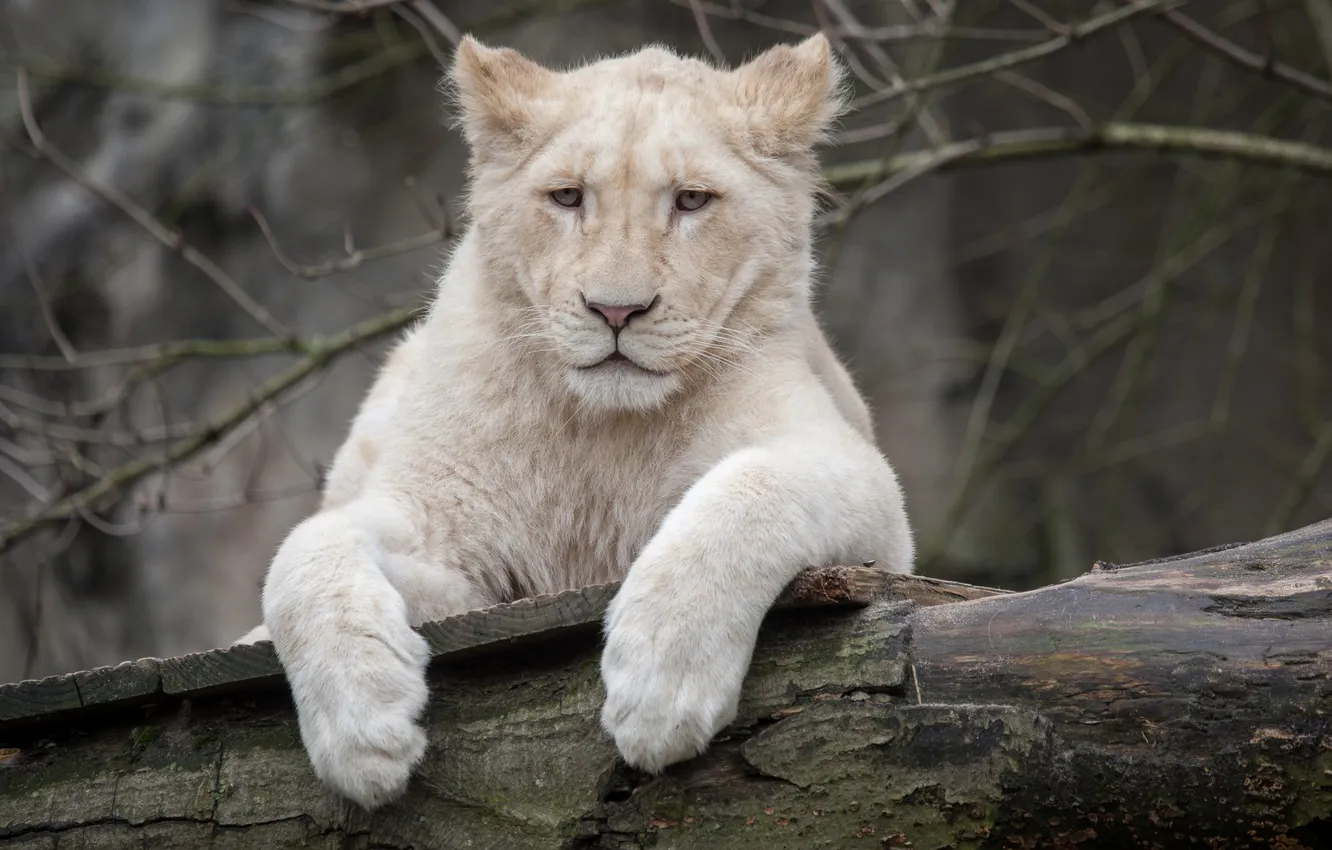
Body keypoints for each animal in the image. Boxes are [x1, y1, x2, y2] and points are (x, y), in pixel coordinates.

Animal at [237, 32, 915, 810]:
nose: (616, 310)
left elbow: (747, 491)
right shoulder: (459, 557)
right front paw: (361, 731)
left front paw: (660, 680)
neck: (598, 430)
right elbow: (305, 550)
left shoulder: (866, 493)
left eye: (692, 200)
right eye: (566, 197)